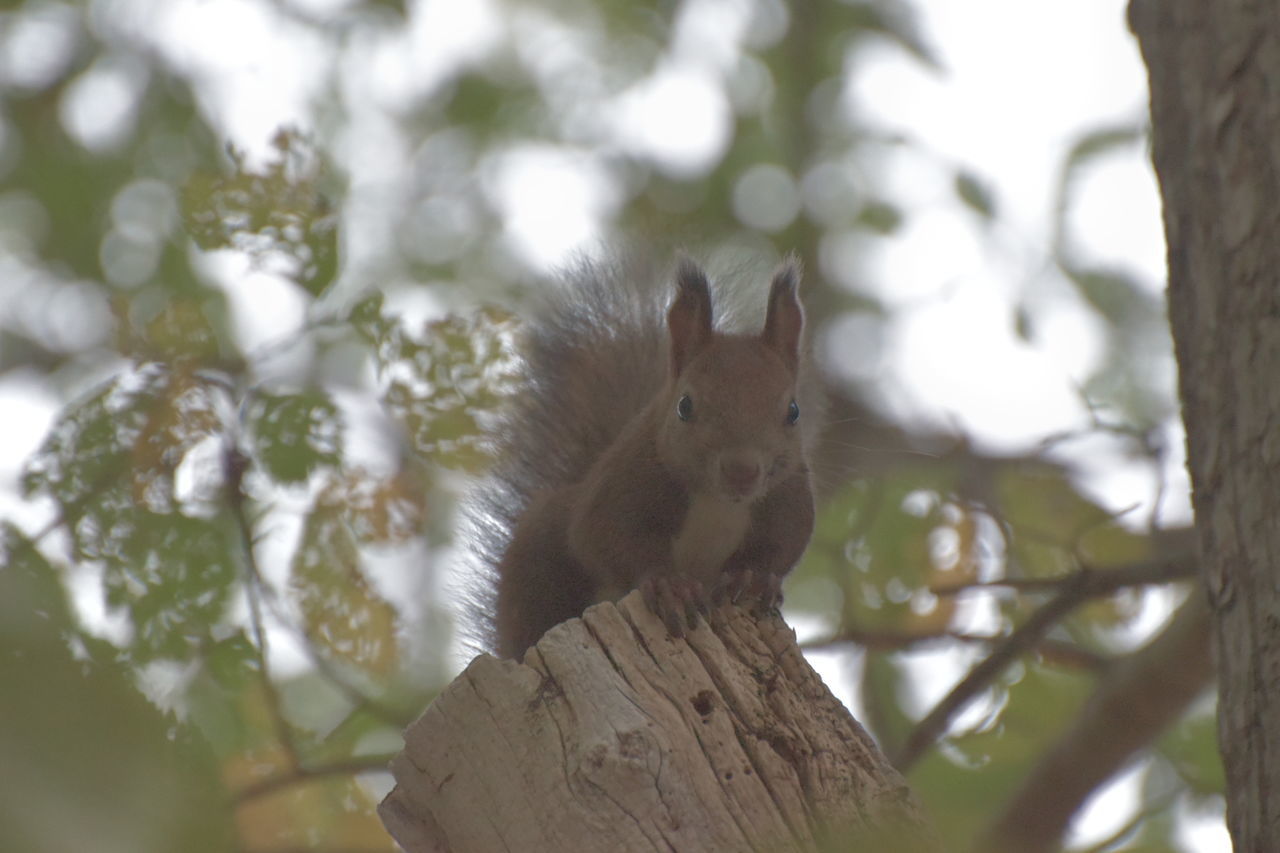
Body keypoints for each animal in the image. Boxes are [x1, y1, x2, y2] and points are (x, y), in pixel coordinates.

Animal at [471, 252, 819, 655]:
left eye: (793, 411)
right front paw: (670, 585)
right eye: (685, 405)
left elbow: (783, 547)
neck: (718, 503)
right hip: (535, 564)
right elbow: (605, 536)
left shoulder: (788, 500)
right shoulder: (622, 486)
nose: (742, 471)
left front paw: (752, 577)